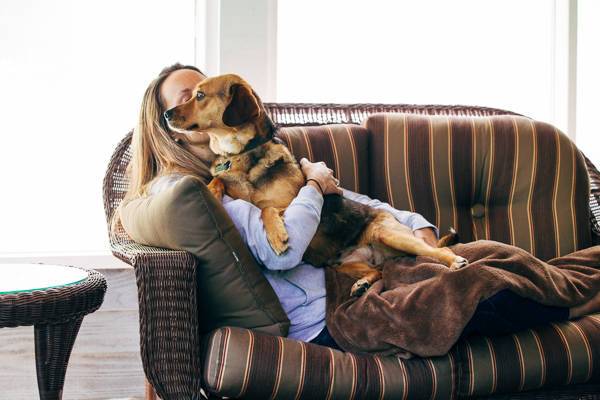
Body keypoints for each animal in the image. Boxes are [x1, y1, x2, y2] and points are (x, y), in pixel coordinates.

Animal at [164, 73, 468, 296]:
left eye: (199, 95)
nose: (166, 114)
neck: (243, 153)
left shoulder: (289, 203)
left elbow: (266, 208)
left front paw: (278, 236)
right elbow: (219, 179)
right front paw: (211, 190)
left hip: (391, 235)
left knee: (438, 251)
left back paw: (454, 261)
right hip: (342, 264)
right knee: (378, 271)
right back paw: (363, 285)